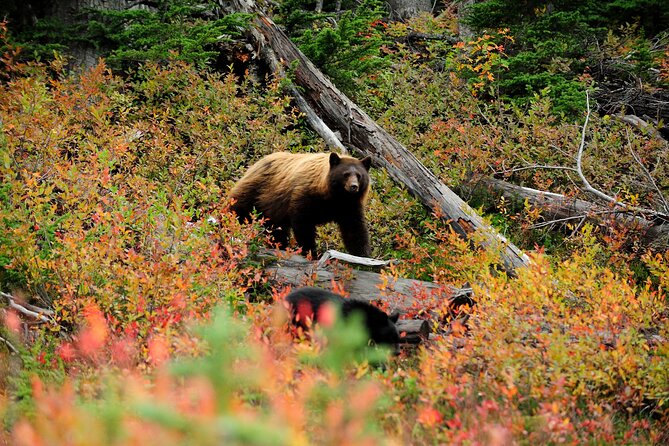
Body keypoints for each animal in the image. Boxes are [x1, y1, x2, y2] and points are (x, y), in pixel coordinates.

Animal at [231, 151, 374, 258]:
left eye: (359, 175)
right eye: (346, 174)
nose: (354, 187)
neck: (335, 196)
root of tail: (256, 164)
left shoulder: (349, 206)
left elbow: (354, 229)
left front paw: (363, 255)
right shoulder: (305, 196)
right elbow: (303, 224)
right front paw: (311, 252)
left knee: (276, 230)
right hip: (256, 192)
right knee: (238, 209)